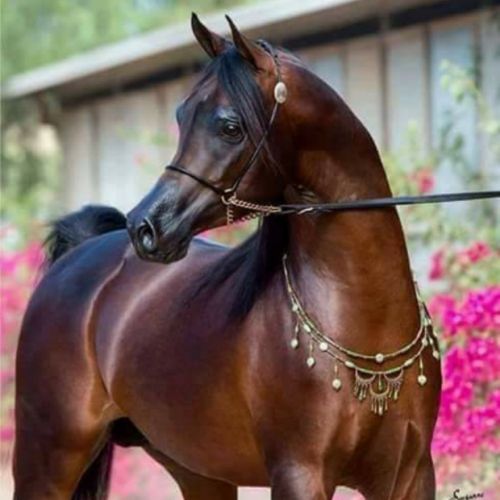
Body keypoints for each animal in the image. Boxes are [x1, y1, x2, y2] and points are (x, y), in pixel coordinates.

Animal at [14, 14, 441, 499]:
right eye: (180, 116)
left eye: (230, 126)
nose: (145, 226)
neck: (367, 326)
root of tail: (81, 255)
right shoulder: (299, 472)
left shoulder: (410, 474)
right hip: (48, 458)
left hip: (197, 470)